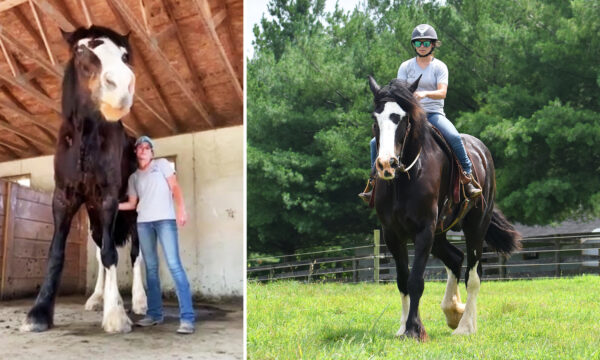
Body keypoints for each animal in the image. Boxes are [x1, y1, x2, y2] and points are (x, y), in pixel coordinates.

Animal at [366, 76, 520, 340]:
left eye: (402, 118)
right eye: (376, 118)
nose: (386, 164)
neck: (406, 178)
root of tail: (482, 152)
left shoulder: (424, 231)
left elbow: (416, 281)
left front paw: (415, 330)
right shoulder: (392, 234)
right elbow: (402, 280)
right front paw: (403, 327)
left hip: (475, 226)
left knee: (473, 275)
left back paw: (466, 326)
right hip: (439, 234)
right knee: (456, 259)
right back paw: (453, 311)